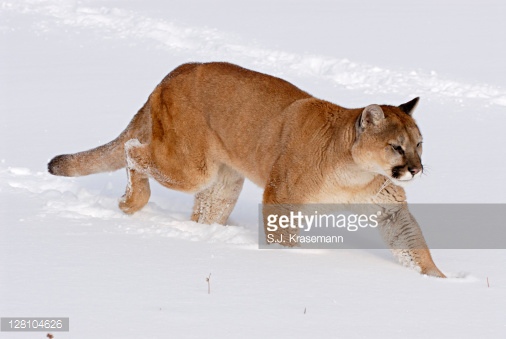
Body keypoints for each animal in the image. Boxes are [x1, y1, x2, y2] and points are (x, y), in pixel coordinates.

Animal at [46, 61, 442, 278]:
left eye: (419, 144)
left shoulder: (388, 205)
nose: (416, 169)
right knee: (132, 149)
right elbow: (282, 239)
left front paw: (438, 280)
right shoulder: (282, 197)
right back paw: (131, 202)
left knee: (205, 211)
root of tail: (174, 71)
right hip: (191, 167)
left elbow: (412, 243)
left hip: (223, 182)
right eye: (397, 147)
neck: (352, 171)